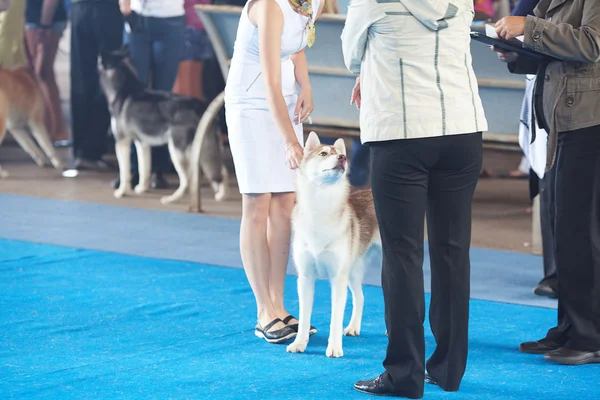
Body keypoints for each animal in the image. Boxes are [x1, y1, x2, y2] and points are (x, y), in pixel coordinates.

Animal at [286, 133, 380, 358]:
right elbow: (304, 318)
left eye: (341, 154)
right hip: (353, 271)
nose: (343, 159)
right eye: (323, 154)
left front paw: (334, 347)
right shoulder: (305, 278)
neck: (321, 205)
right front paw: (299, 343)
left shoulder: (337, 279)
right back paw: (353, 327)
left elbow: (335, 320)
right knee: (360, 297)